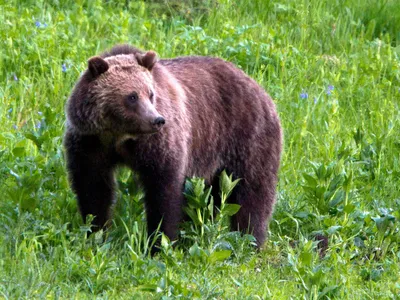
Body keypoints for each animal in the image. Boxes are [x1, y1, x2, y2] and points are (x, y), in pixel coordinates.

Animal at [65, 44, 282, 250]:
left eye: (150, 94)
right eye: (132, 96)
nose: (157, 120)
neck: (119, 136)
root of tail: (259, 88)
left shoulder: (158, 145)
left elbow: (163, 190)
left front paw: (159, 242)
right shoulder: (90, 143)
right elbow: (93, 187)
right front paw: (95, 232)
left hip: (246, 137)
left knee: (253, 191)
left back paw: (250, 240)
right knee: (212, 196)